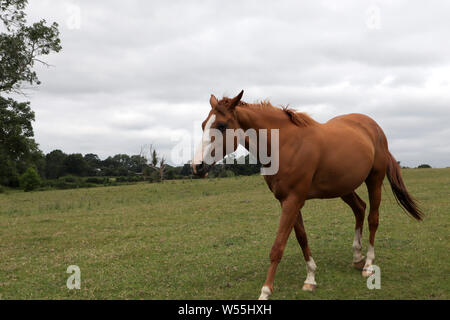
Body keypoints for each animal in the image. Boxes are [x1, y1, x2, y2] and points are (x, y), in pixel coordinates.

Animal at [192, 90, 424, 300]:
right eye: (203, 125)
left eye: (222, 126)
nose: (197, 166)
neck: (285, 145)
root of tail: (373, 126)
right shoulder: (288, 201)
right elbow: (301, 237)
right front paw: (310, 278)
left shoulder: (293, 200)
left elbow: (278, 246)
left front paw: (265, 291)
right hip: (343, 187)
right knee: (360, 208)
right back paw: (357, 256)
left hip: (374, 181)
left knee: (373, 219)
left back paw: (367, 264)